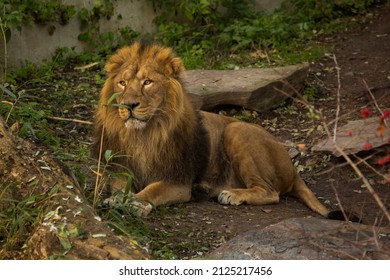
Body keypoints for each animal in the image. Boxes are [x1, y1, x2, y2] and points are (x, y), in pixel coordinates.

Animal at [93, 42, 356, 221]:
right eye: (122, 83)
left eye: (147, 82)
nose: (128, 105)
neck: (144, 134)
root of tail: (293, 169)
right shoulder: (119, 168)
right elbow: (120, 186)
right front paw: (117, 199)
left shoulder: (177, 180)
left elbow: (152, 190)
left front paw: (136, 203)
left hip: (236, 129)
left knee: (271, 192)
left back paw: (231, 194)